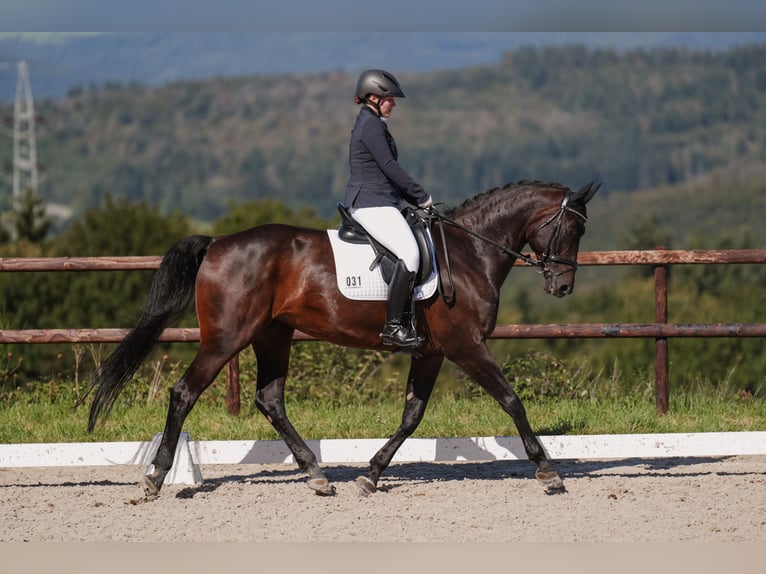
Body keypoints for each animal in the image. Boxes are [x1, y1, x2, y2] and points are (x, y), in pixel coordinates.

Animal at [84, 180, 600, 500]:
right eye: (573, 227)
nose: (563, 288)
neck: (472, 250)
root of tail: (217, 243)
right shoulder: (466, 346)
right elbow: (513, 401)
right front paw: (548, 472)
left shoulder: (431, 352)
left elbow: (412, 415)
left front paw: (370, 475)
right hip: (227, 338)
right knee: (184, 393)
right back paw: (156, 478)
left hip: (273, 336)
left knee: (270, 399)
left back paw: (317, 476)